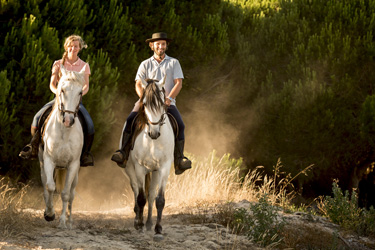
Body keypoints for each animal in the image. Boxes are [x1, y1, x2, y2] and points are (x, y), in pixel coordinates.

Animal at [40, 64, 86, 229]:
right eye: (62, 90)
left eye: (80, 92)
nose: (68, 120)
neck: (64, 132)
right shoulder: (48, 161)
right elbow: (50, 187)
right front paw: (49, 214)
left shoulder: (73, 165)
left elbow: (65, 194)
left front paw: (62, 221)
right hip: (43, 164)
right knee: (45, 185)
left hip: (75, 173)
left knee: (71, 194)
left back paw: (70, 219)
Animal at [124, 77, 176, 241]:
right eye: (145, 104)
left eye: (162, 104)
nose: (153, 133)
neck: (153, 142)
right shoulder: (140, 168)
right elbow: (141, 198)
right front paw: (139, 226)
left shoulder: (164, 168)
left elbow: (159, 199)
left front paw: (158, 229)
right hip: (131, 170)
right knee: (136, 190)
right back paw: (137, 221)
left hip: (154, 172)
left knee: (151, 194)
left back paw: (148, 223)